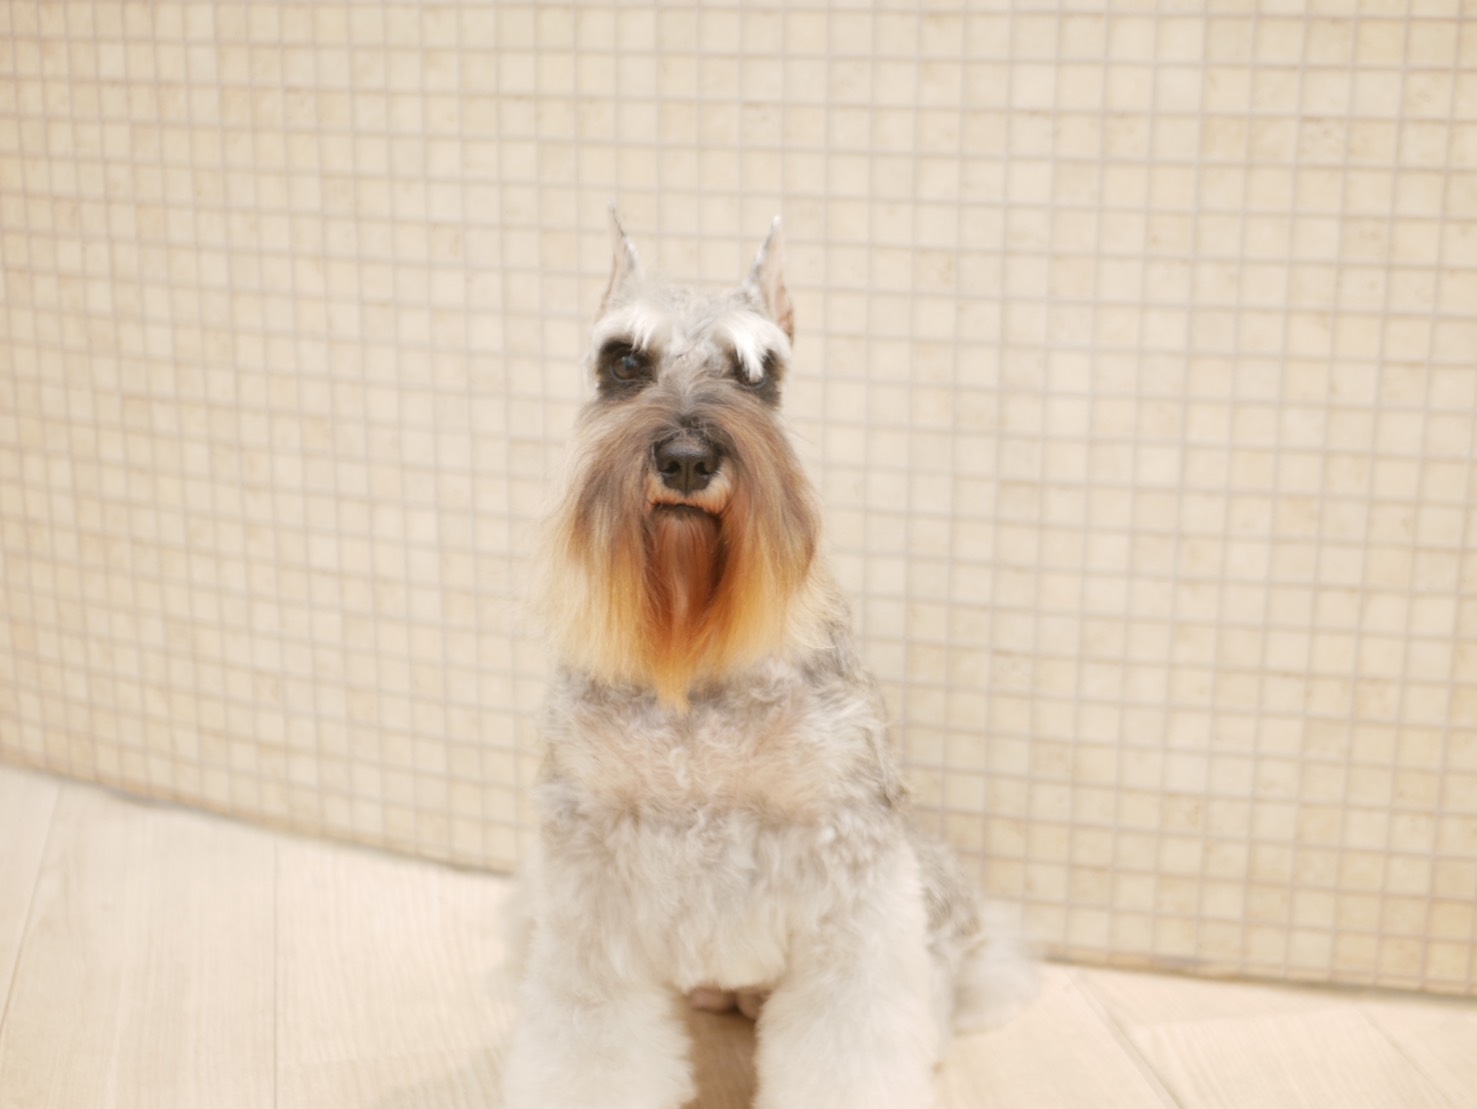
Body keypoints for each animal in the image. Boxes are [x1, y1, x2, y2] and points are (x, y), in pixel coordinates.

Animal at [501, 211, 1034, 1109]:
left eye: (760, 373)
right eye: (623, 362)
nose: (685, 458)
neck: (693, 651)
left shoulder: (850, 873)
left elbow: (849, 1042)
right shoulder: (588, 880)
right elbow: (589, 1042)